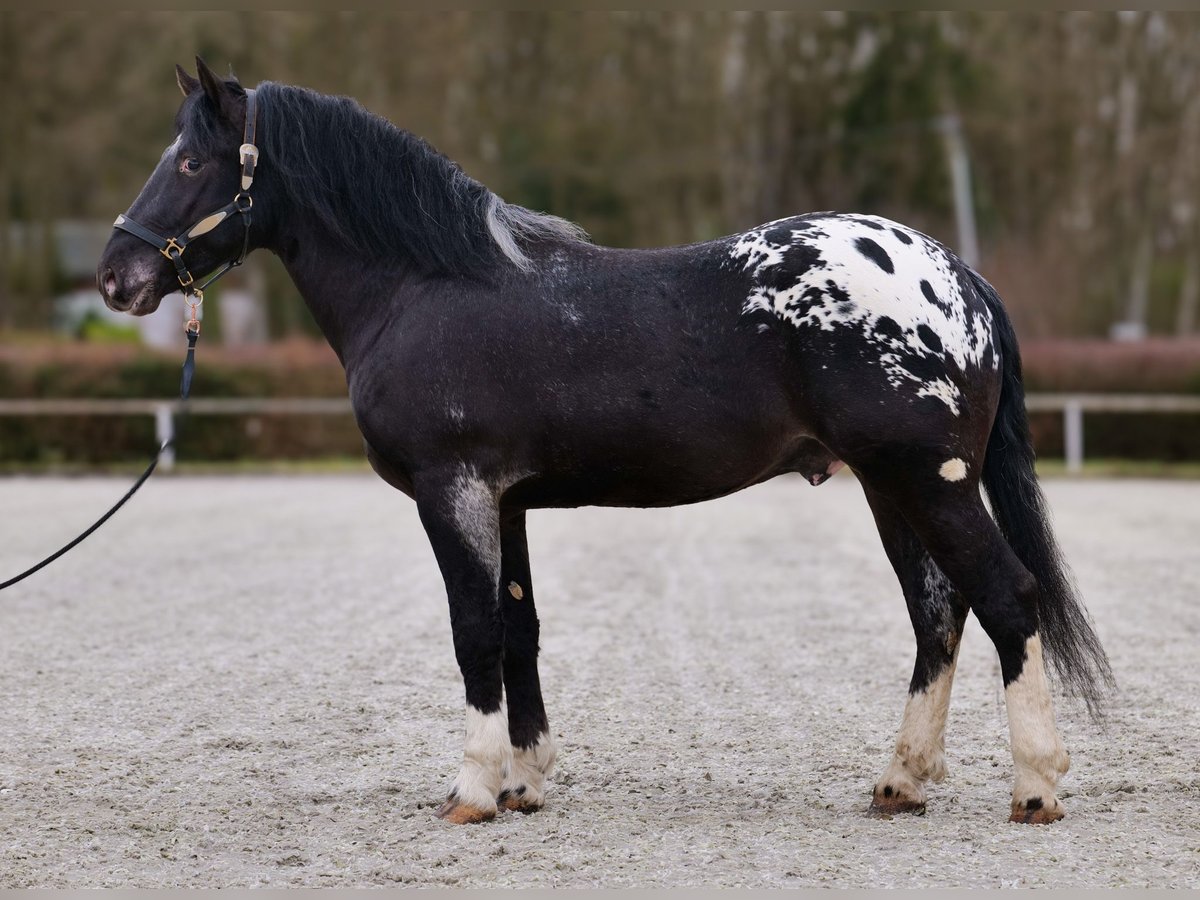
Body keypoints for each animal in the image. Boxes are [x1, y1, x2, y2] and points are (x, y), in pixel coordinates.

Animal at [98, 60, 1108, 830]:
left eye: (189, 159)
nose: (117, 276)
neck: (424, 286)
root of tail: (957, 276)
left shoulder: (453, 491)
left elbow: (473, 634)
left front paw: (473, 791)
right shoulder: (505, 502)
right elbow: (519, 630)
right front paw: (525, 782)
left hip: (929, 482)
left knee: (1007, 598)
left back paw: (1035, 787)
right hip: (891, 487)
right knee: (939, 613)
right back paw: (901, 781)